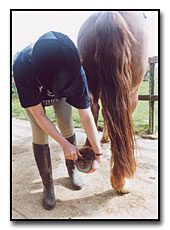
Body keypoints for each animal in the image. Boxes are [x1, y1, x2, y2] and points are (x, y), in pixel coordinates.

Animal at [77, 11, 149, 193]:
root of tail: (108, 14)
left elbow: (105, 113)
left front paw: (103, 138)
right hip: (131, 92)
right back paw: (121, 180)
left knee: (93, 107)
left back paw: (90, 150)